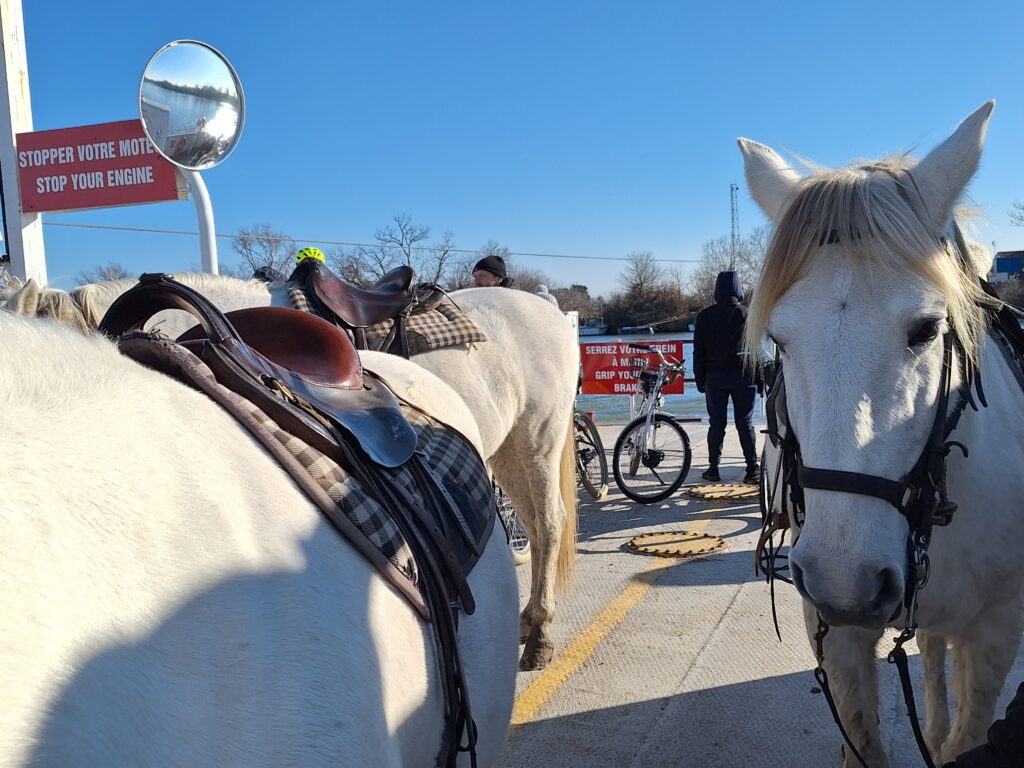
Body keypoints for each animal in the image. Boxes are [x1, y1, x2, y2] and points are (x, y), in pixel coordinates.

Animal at [0, 274, 579, 670]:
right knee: (533, 525)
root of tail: (549, 306)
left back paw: (540, 637)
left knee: (549, 523)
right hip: (507, 451)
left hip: (537, 438)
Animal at [738, 101, 1024, 767]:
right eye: (780, 340)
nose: (845, 583)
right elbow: (864, 737)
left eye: (926, 329)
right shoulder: (833, 631)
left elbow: (969, 737)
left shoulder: (998, 630)